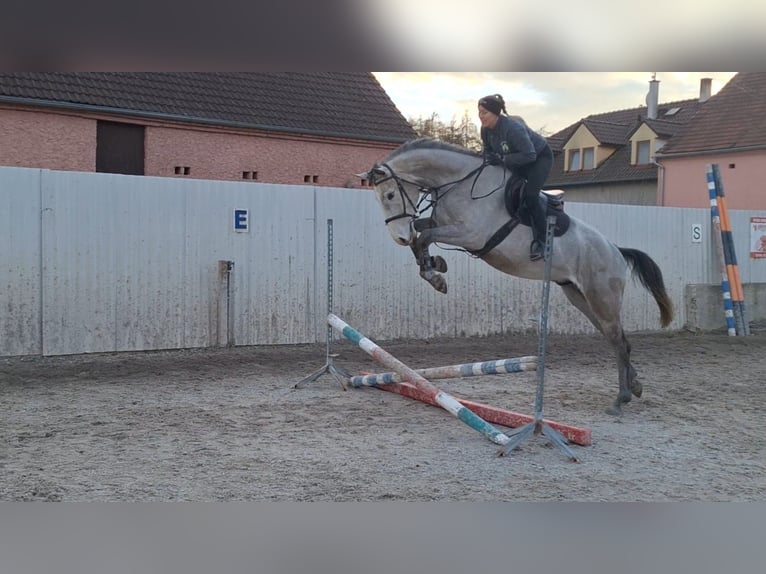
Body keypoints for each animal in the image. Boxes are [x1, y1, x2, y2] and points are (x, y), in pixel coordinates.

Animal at [360, 141, 672, 418]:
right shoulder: (442, 224)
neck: (458, 184)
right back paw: (635, 386)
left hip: (602, 298)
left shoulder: (471, 234)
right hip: (580, 297)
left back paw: (621, 399)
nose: (399, 237)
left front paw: (435, 274)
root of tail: (615, 250)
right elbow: (421, 235)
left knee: (619, 342)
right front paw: (435, 268)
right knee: (616, 339)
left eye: (390, 195)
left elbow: (424, 235)